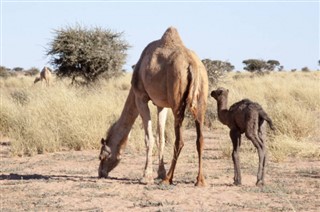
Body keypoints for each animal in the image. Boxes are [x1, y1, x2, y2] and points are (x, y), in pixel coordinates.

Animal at [100, 26, 210, 186]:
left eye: (102, 156)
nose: (100, 173)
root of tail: (192, 65)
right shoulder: (161, 105)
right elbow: (161, 138)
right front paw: (159, 172)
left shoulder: (140, 97)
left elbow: (149, 138)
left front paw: (147, 176)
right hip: (201, 97)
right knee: (200, 139)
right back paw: (199, 180)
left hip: (177, 101)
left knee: (180, 141)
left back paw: (168, 178)